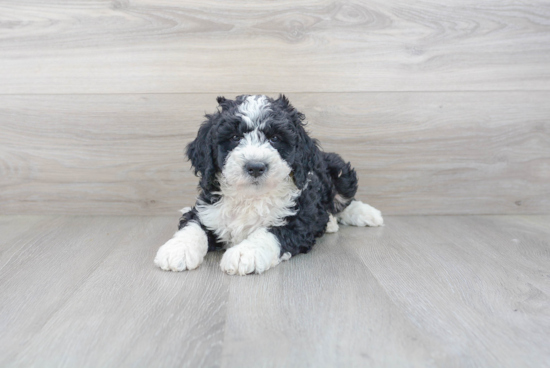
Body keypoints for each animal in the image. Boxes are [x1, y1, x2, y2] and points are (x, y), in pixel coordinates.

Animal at [152, 95, 384, 276]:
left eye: (274, 138)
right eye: (234, 137)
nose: (255, 167)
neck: (251, 196)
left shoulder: (298, 220)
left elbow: (270, 232)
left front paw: (245, 253)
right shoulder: (206, 209)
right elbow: (194, 225)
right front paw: (177, 250)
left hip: (339, 170)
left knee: (344, 202)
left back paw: (365, 215)